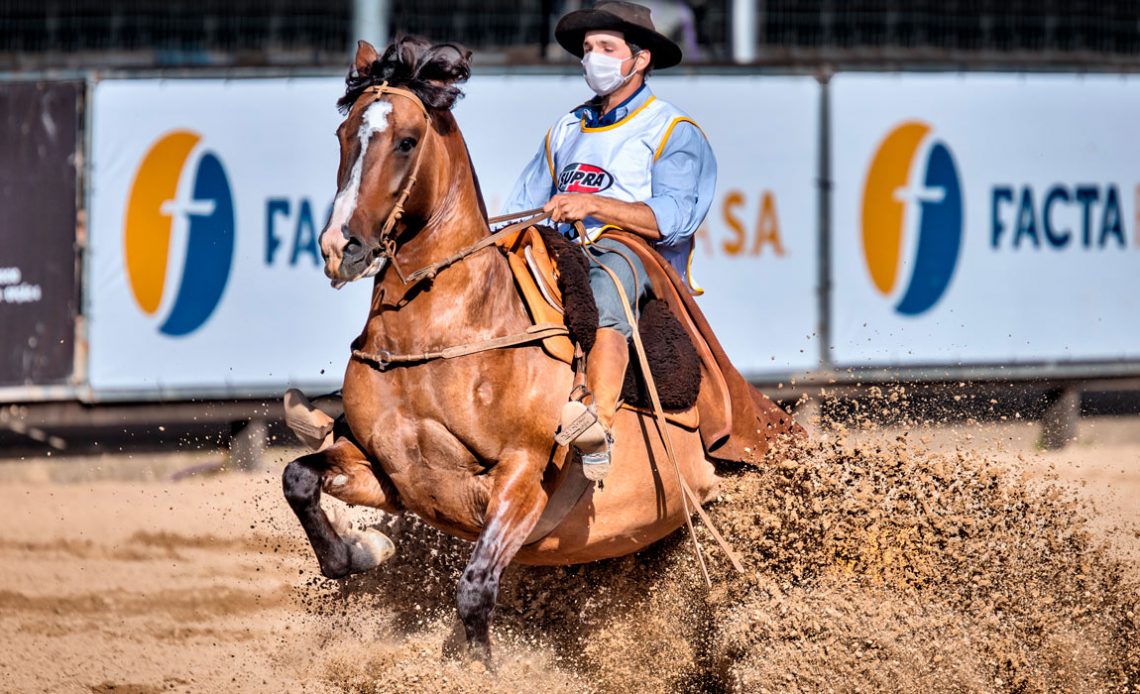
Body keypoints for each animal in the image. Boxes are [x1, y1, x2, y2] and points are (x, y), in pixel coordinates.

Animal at [281, 36, 788, 660]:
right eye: (344, 133)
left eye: (405, 140)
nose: (339, 246)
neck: (448, 334)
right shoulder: (389, 472)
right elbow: (299, 479)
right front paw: (364, 548)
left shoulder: (521, 478)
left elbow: (475, 591)